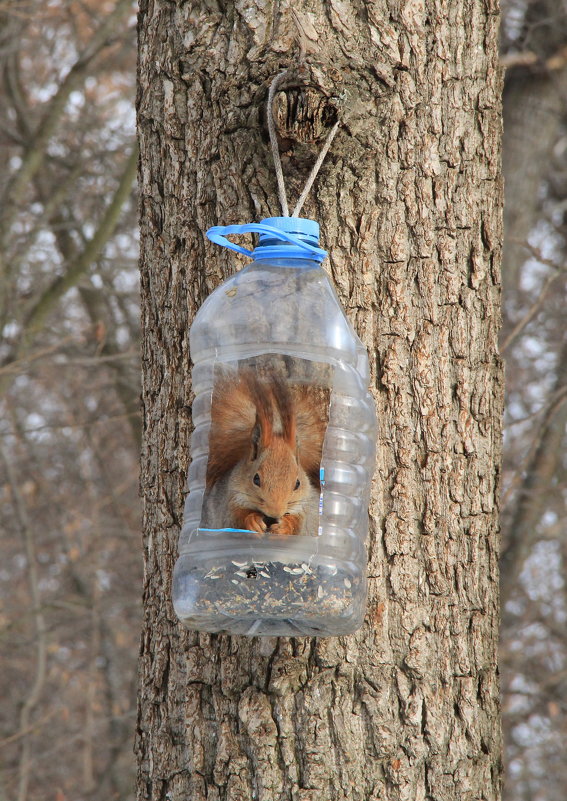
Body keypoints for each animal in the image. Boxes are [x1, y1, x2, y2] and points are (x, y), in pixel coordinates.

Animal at [202, 366, 328, 536]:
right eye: (256, 479)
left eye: (298, 483)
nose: (275, 514)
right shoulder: (230, 501)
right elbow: (235, 519)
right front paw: (253, 521)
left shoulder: (303, 508)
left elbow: (297, 525)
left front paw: (284, 526)